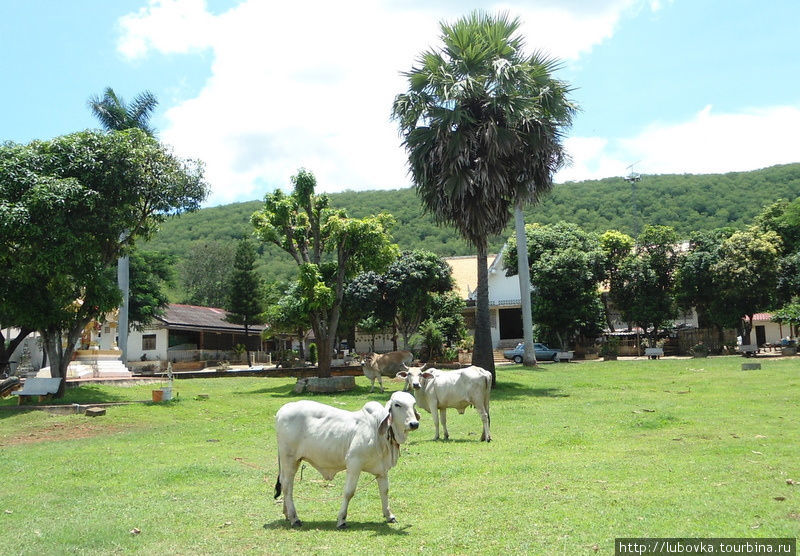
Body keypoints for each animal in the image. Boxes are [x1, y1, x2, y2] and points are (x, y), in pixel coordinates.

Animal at [276, 388, 422, 528]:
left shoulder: (382, 469)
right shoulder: (354, 463)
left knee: (284, 483)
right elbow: (349, 492)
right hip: (289, 459)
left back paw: (287, 514)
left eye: (413, 404)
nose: (414, 424)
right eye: (397, 404)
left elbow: (384, 491)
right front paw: (341, 520)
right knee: (287, 486)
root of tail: (282, 410)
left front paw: (389, 515)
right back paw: (294, 518)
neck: (376, 430)